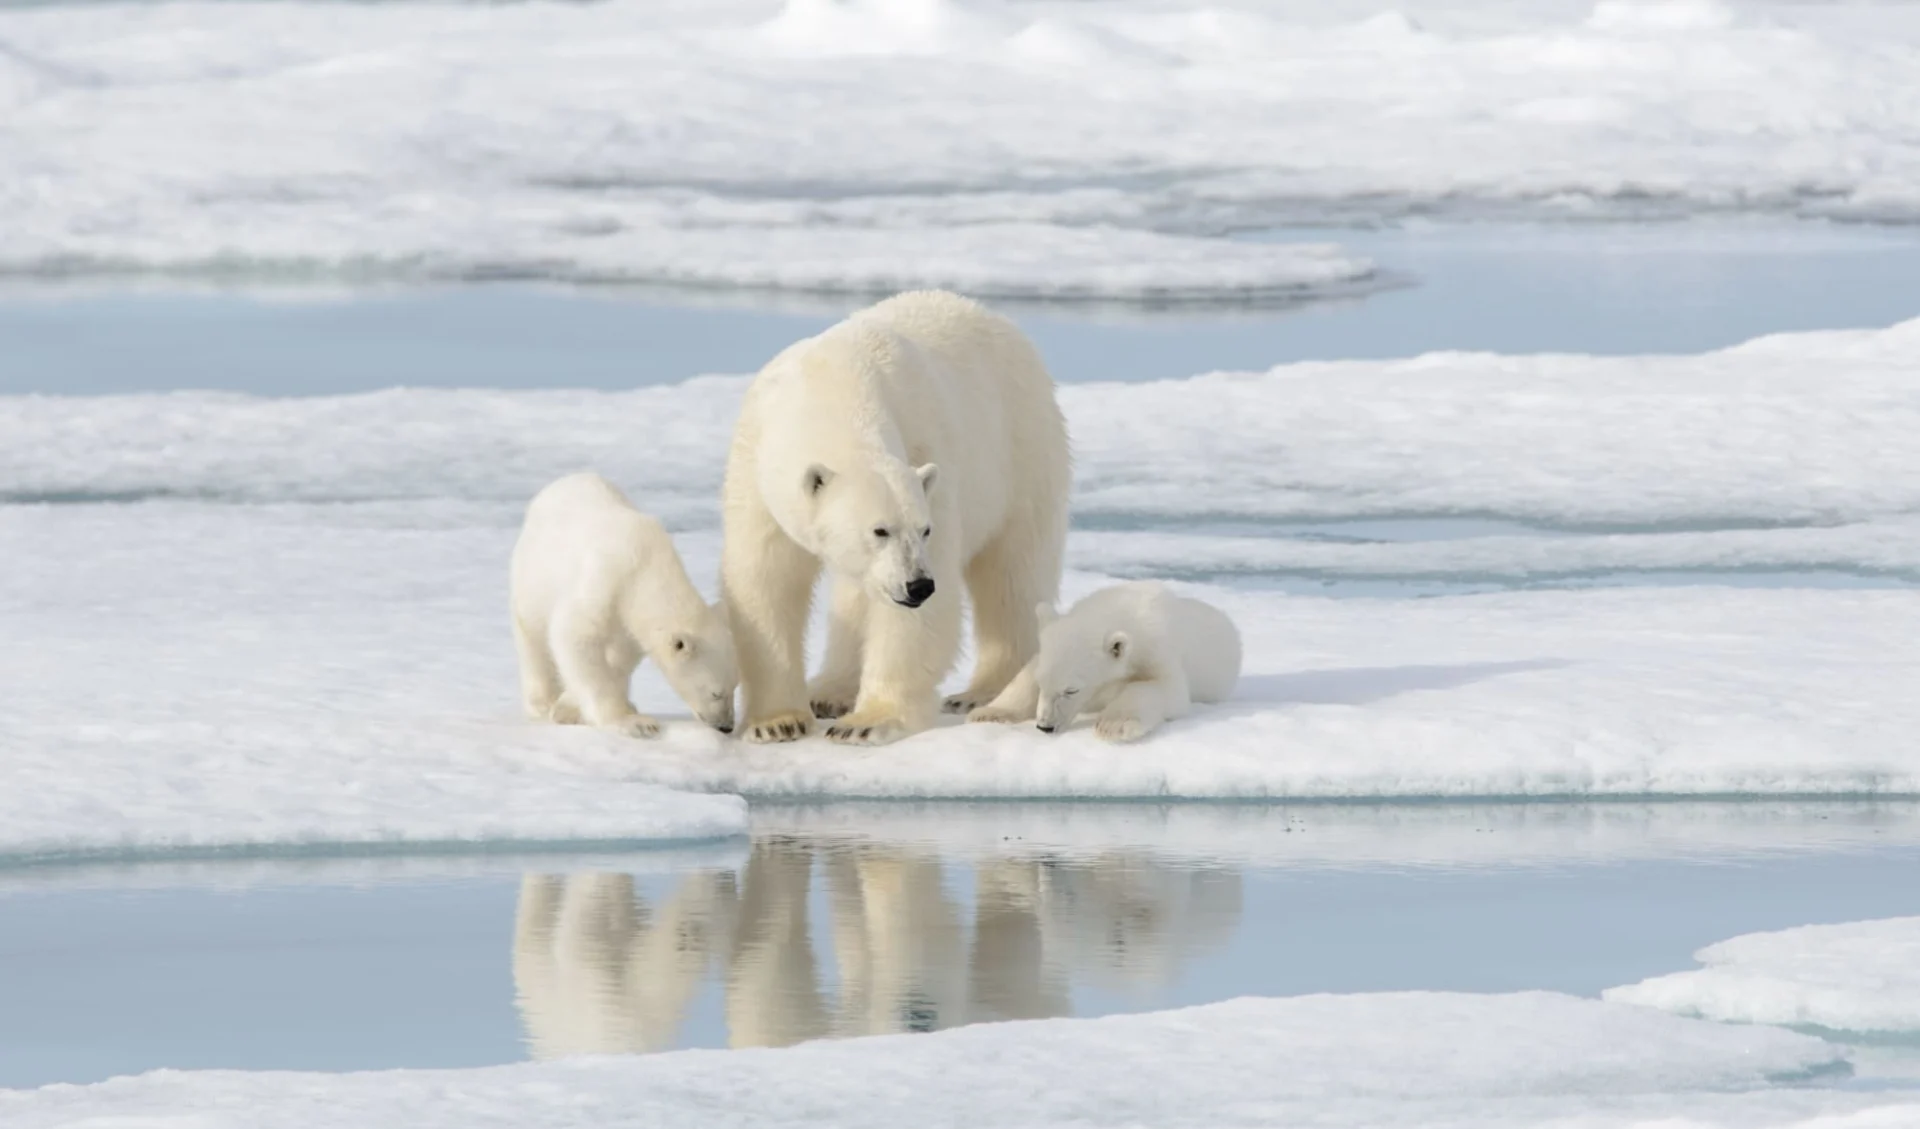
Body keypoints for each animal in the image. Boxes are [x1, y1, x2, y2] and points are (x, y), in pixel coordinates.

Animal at [510, 472, 733, 737]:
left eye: (736, 686)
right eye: (716, 692)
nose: (726, 726)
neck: (645, 570)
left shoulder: (628, 623)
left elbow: (619, 658)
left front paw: (572, 708)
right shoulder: (603, 582)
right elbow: (574, 636)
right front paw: (635, 722)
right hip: (533, 575)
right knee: (532, 636)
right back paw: (542, 702)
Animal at [721, 291, 1082, 744]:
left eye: (924, 530)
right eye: (880, 530)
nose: (918, 585)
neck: (833, 386)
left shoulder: (928, 459)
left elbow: (919, 618)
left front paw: (867, 722)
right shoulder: (755, 469)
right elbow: (765, 580)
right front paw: (777, 722)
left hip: (1021, 452)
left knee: (1012, 576)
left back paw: (981, 693)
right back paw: (829, 691)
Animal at [967, 583, 1236, 741]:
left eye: (1071, 690)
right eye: (1042, 683)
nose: (1045, 726)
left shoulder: (1158, 651)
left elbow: (1163, 689)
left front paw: (1113, 725)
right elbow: (1026, 674)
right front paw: (988, 713)